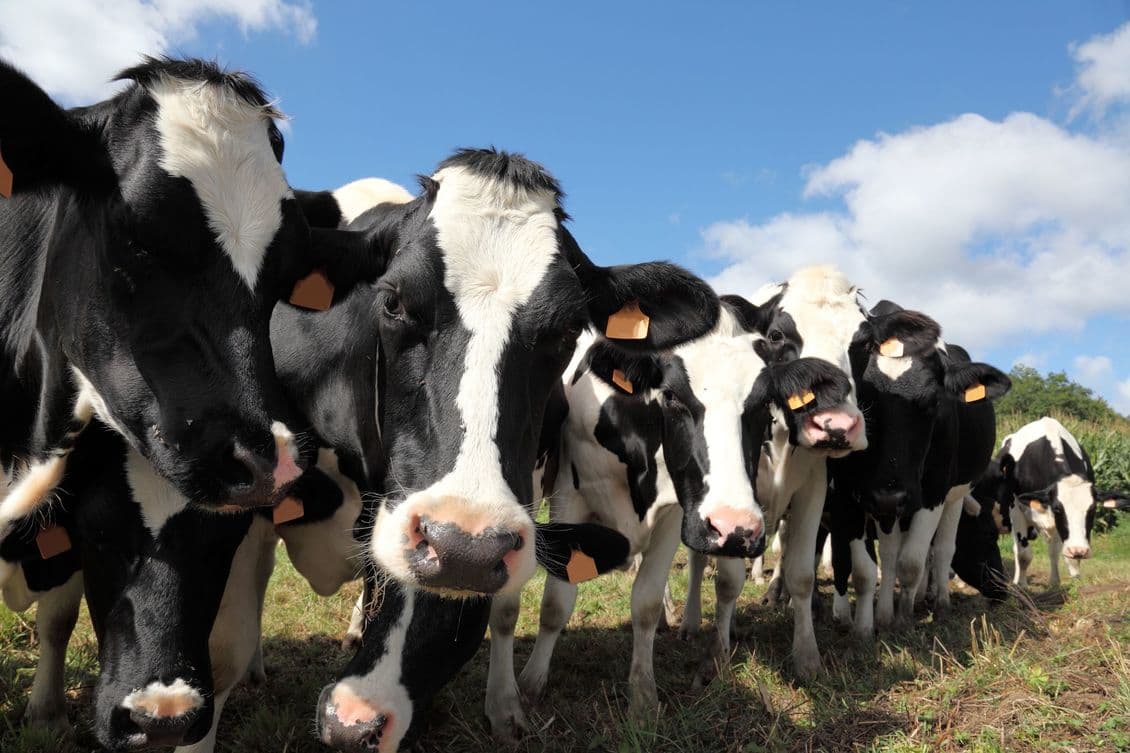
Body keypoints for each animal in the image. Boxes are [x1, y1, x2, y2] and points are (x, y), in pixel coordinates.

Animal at [481, 296, 858, 737]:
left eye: (764, 402)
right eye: (673, 395)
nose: (734, 527)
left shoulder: (674, 513)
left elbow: (644, 602)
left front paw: (643, 697)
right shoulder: (567, 498)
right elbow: (557, 602)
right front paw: (531, 681)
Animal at [827, 298, 1012, 633]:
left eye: (934, 401)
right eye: (862, 400)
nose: (1002, 590)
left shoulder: (933, 492)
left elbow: (912, 561)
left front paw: (904, 616)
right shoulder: (860, 493)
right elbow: (880, 560)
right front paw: (880, 618)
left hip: (955, 496)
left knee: (942, 551)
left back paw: (938, 602)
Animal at [980, 416, 1111, 587]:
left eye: (1093, 509)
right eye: (1058, 508)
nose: (1079, 550)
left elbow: (1056, 553)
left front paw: (1055, 583)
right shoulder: (1016, 508)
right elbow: (1024, 555)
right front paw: (1022, 586)